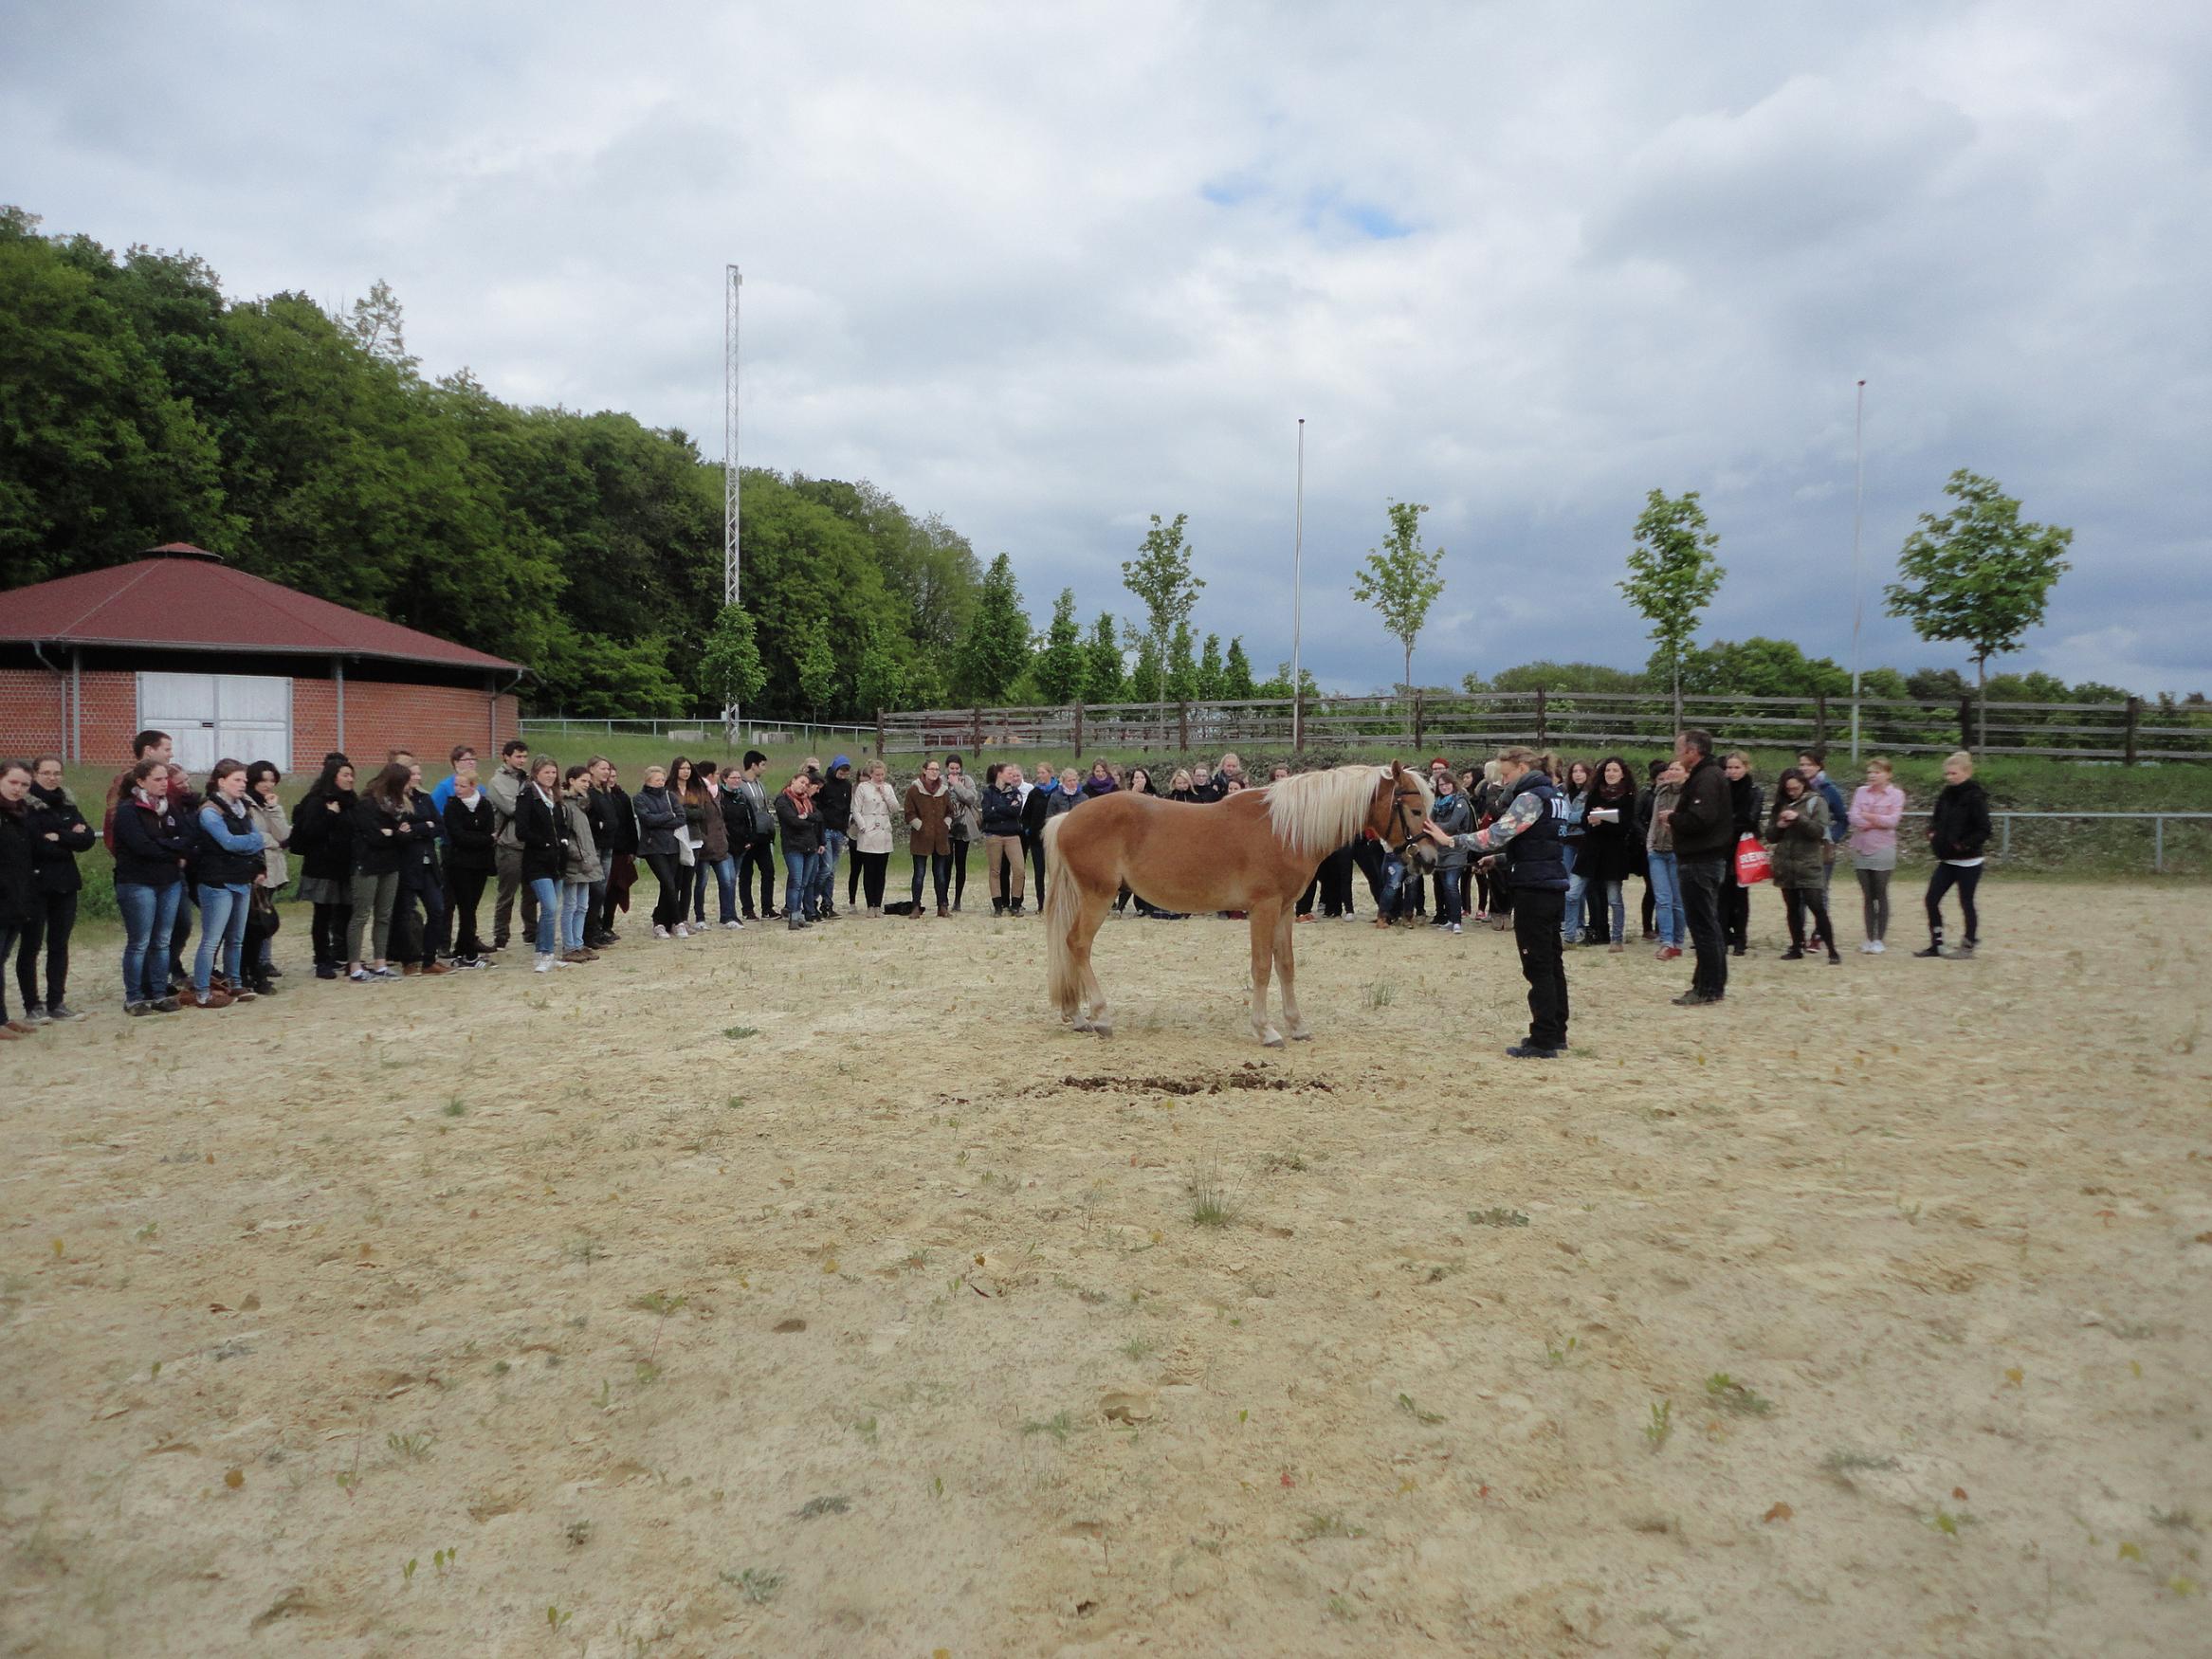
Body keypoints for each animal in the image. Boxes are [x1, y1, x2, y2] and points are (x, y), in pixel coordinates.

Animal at [1039, 765, 1433, 1044]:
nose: (1428, 858)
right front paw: (1266, 1030)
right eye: (1414, 809)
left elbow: (1286, 965)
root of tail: (1067, 818)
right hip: (1099, 896)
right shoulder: (1264, 908)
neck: (1284, 829)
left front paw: (1297, 1025)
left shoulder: (1285, 910)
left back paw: (1077, 1015)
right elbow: (1261, 967)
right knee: (1078, 944)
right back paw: (1099, 1016)